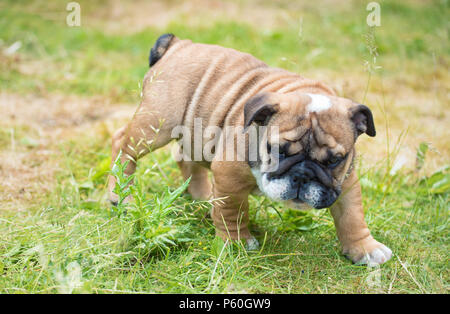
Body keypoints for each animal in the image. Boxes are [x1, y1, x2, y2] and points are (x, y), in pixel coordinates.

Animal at [108, 33, 390, 264]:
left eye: (334, 160)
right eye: (277, 151)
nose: (302, 175)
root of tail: (179, 44)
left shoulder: (345, 182)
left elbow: (352, 216)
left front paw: (365, 249)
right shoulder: (228, 176)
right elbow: (232, 212)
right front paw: (237, 242)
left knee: (184, 157)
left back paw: (202, 196)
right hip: (158, 123)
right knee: (122, 144)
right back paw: (120, 194)